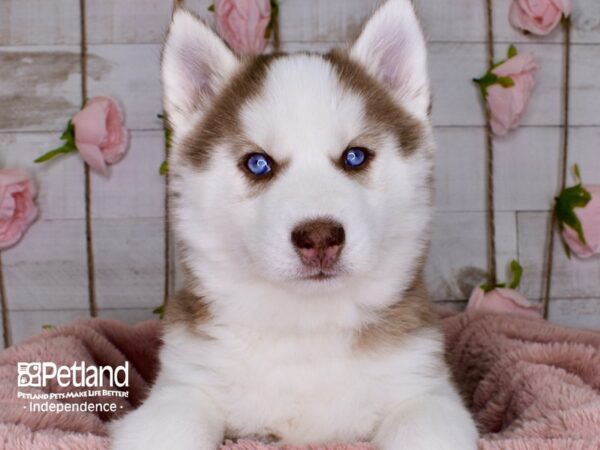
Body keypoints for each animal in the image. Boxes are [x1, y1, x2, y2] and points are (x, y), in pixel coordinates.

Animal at [111, 0, 478, 448]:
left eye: (355, 156)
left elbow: (422, 429)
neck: (305, 329)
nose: (320, 237)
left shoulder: (425, 391)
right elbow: (171, 427)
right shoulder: (182, 385)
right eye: (258, 163)